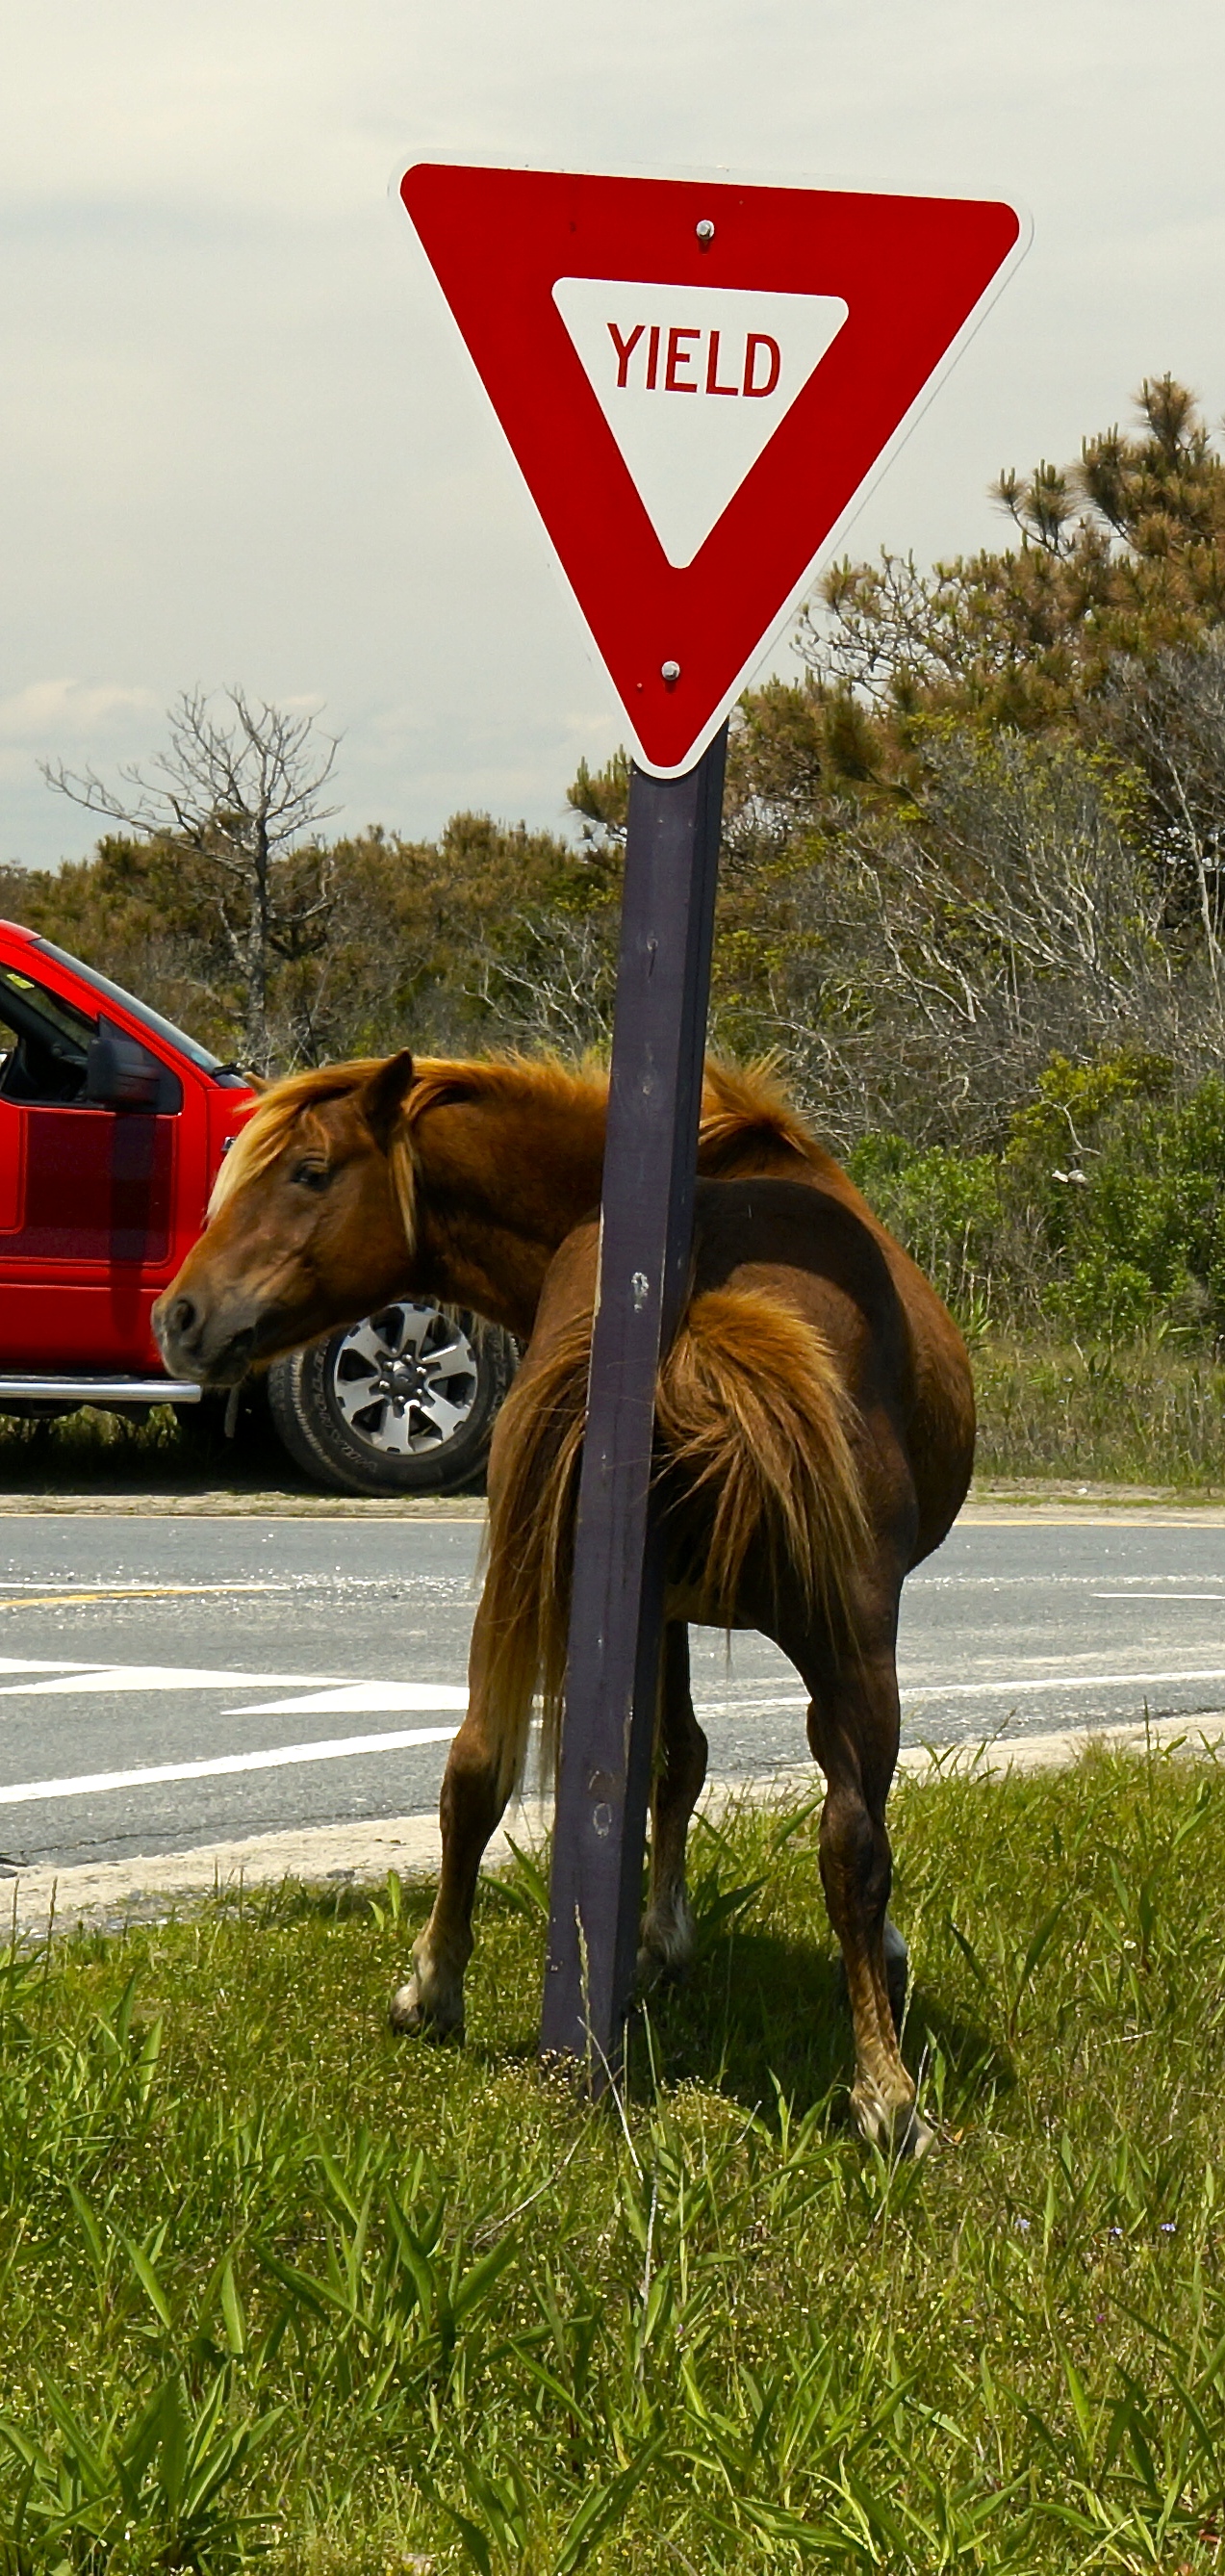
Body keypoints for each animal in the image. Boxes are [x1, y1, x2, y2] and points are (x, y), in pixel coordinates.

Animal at [155, 1045, 978, 2153]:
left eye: (310, 1173)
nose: (181, 1318)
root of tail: (697, 1306)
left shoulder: (650, 1605)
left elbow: (663, 1762)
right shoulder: (684, 1615)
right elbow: (690, 1765)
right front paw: (671, 1940)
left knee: (475, 1766)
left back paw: (435, 1992)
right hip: (849, 1640)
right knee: (850, 1839)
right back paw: (885, 2093)